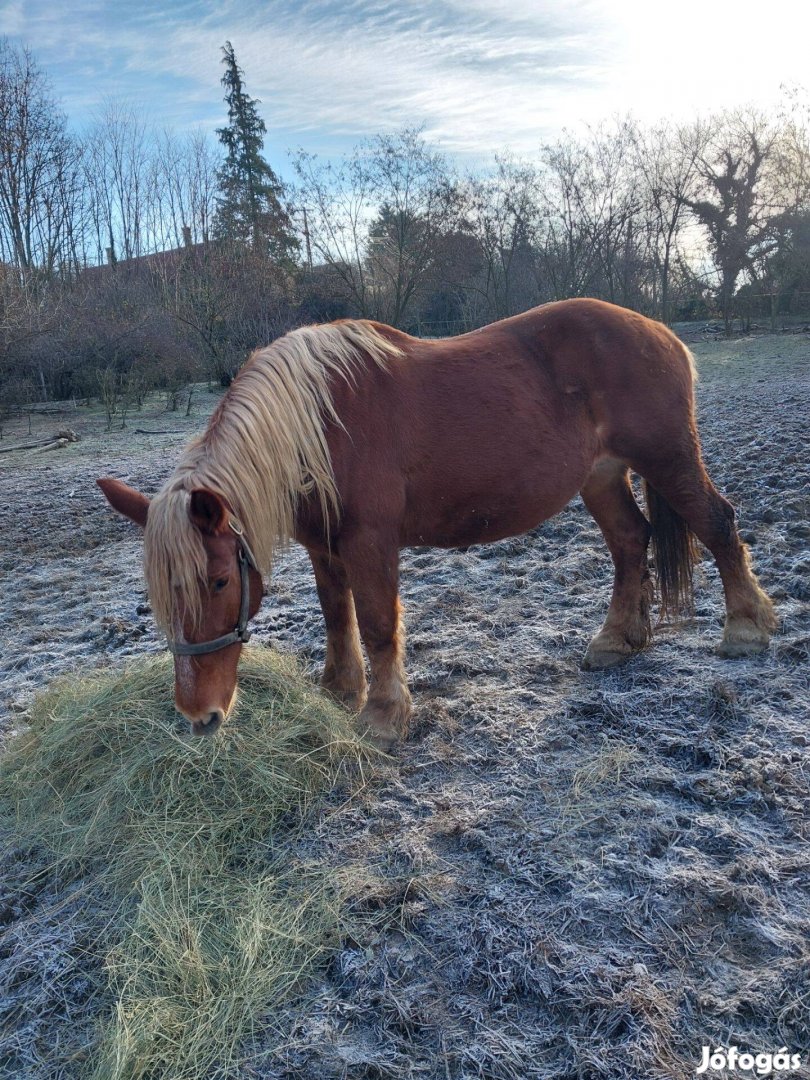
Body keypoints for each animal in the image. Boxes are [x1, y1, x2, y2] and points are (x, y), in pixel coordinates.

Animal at [98, 300, 777, 747]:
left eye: (217, 582)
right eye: (160, 598)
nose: (199, 716)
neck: (318, 423)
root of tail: (661, 332)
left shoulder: (369, 542)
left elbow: (376, 624)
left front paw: (382, 716)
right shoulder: (324, 546)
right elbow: (337, 616)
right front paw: (339, 691)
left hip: (668, 458)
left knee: (718, 524)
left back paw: (746, 627)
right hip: (603, 476)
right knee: (632, 542)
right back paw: (617, 640)